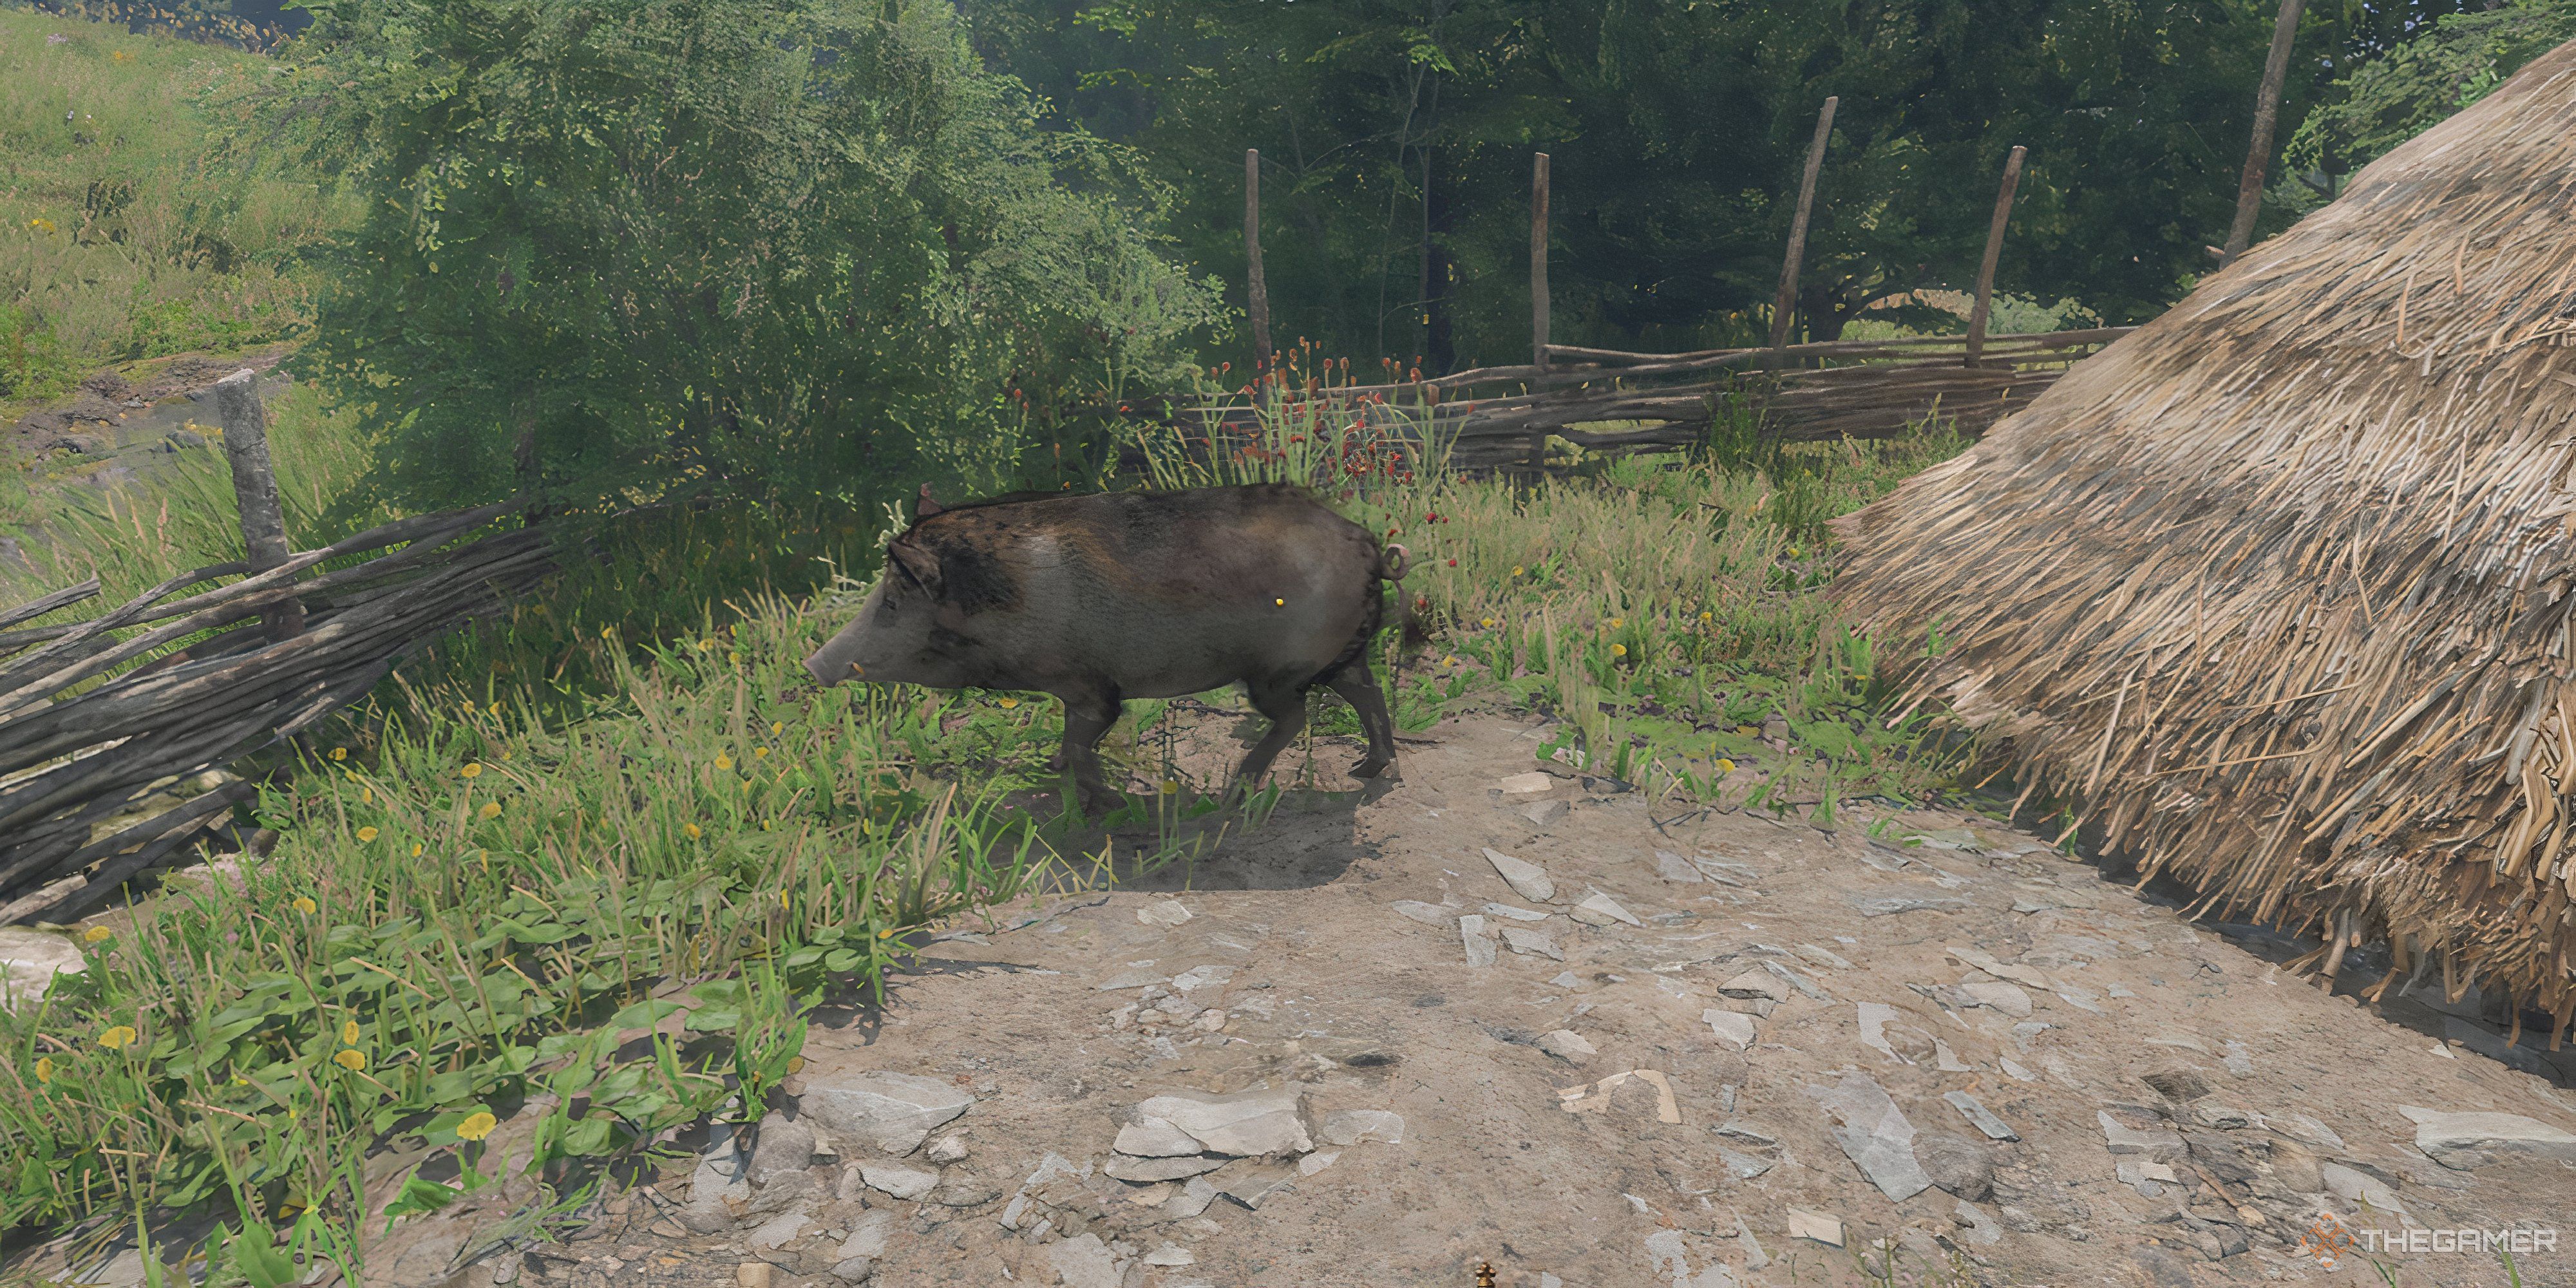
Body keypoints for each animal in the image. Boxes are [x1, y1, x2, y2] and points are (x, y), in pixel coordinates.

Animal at [804, 483, 1413, 812]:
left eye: (890, 603)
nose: (813, 664)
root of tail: (1368, 544)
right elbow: (1072, 739)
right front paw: (1052, 770)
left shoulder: (1088, 684)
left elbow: (1085, 738)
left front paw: (1107, 806)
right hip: (1341, 655)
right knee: (1367, 692)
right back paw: (1367, 771)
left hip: (1278, 670)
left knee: (1296, 717)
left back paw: (1232, 794)